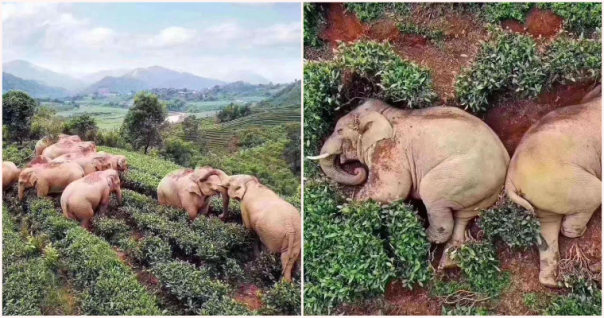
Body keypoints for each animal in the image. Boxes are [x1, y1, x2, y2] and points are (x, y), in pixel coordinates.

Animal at [306, 99, 510, 268]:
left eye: (339, 131)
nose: (358, 171)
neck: (386, 112)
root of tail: (506, 164)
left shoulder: (389, 150)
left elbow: (392, 190)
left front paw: (346, 208)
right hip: (481, 191)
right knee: (463, 216)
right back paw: (448, 263)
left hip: (465, 175)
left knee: (432, 195)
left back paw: (422, 236)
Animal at [504, 86, 600, 288]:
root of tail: (510, 180)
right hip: (563, 181)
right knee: (593, 196)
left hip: (543, 195)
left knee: (547, 227)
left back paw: (552, 282)